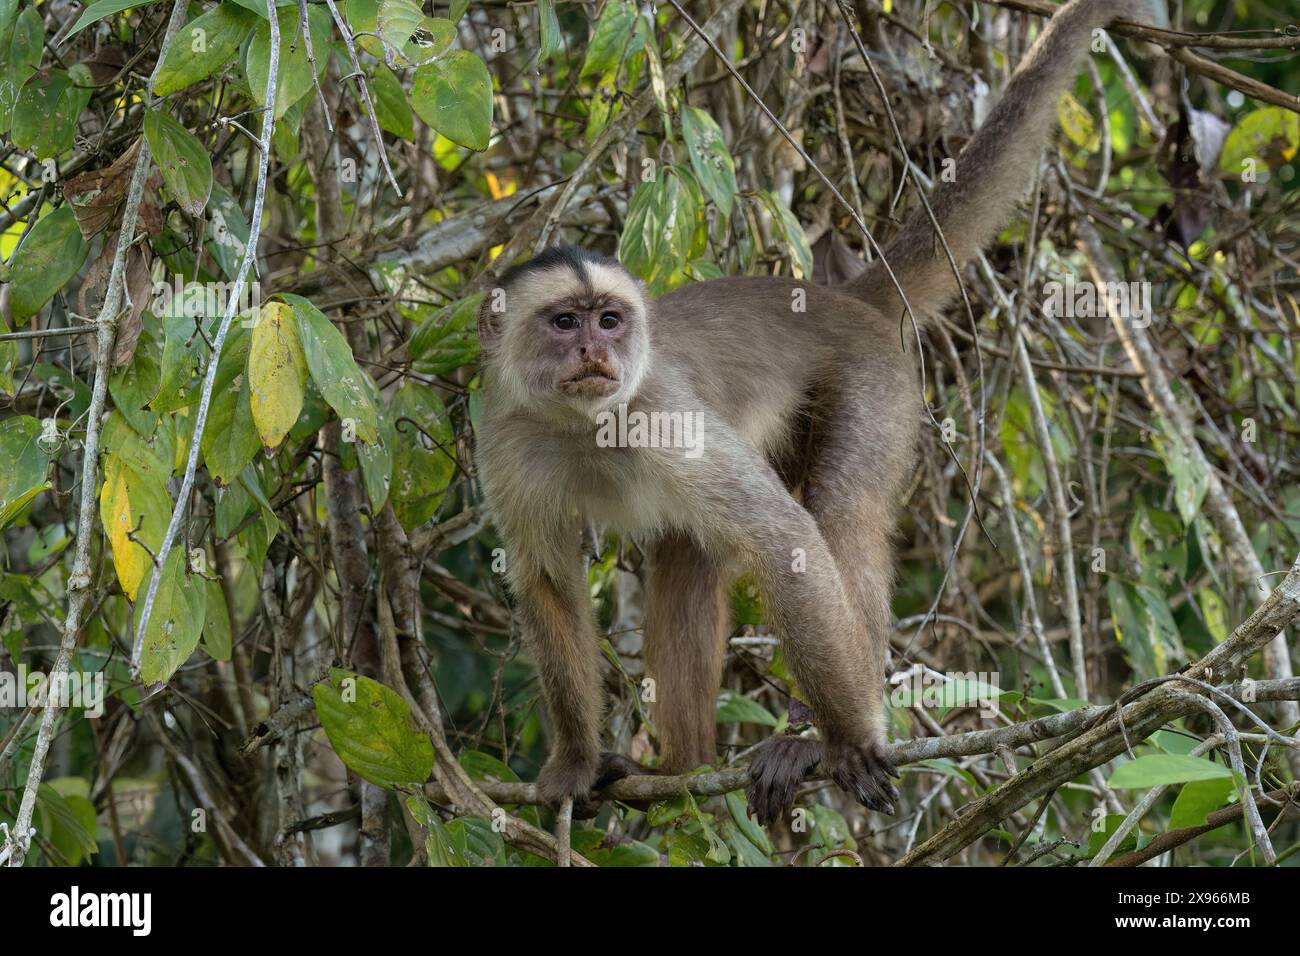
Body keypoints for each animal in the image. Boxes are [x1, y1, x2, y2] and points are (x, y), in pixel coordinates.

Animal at [474, 0, 1151, 825]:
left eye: (610, 320)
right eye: (565, 322)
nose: (595, 353)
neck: (586, 426)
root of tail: (842, 297)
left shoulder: (660, 409)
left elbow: (787, 538)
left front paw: (849, 738)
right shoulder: (504, 439)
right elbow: (547, 582)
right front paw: (575, 762)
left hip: (873, 378)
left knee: (840, 509)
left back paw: (810, 736)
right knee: (688, 558)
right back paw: (683, 768)